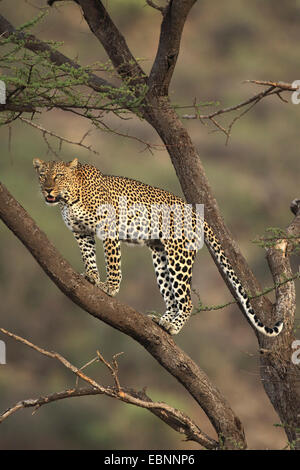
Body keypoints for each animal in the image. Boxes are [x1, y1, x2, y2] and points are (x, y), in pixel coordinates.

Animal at [32, 158, 284, 338]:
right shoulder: (81, 232)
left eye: (59, 176)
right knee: (171, 296)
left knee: (186, 300)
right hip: (161, 257)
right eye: (43, 176)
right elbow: (88, 255)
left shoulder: (109, 228)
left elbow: (113, 262)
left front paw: (110, 288)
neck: (70, 199)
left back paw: (173, 327)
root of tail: (195, 212)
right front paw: (92, 276)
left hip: (179, 256)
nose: (47, 190)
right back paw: (163, 322)